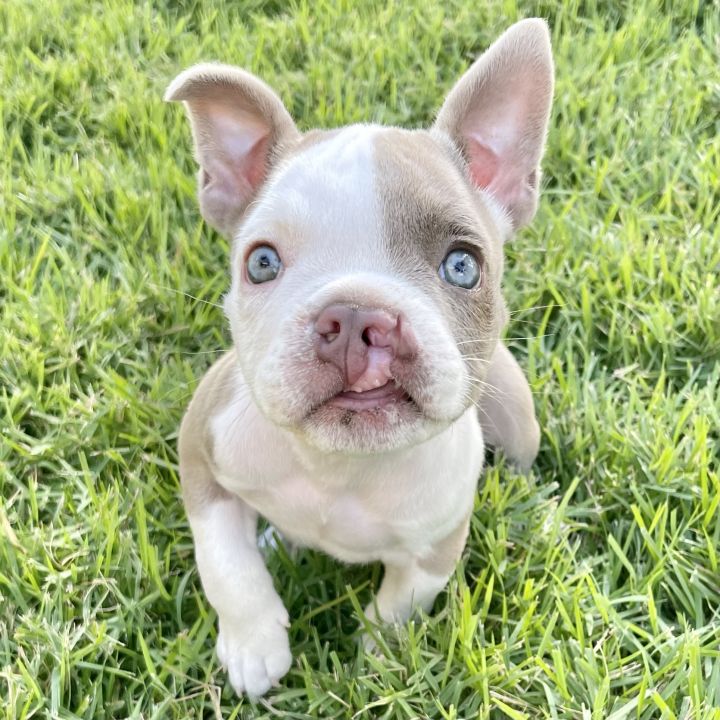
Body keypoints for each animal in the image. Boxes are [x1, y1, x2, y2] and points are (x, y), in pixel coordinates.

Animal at [167, 18, 552, 696]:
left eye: (463, 265)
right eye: (260, 262)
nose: (355, 319)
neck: (339, 468)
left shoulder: (433, 552)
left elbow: (395, 610)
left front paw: (377, 664)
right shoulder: (202, 458)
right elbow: (227, 568)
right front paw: (254, 645)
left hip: (518, 425)